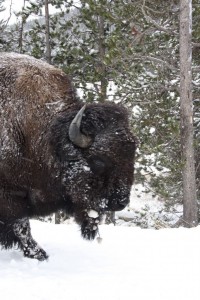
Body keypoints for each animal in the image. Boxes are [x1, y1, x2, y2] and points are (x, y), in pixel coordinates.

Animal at [0, 53, 136, 260]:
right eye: (98, 161)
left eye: (132, 156)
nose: (120, 202)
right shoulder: (10, 195)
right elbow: (22, 227)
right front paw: (40, 255)